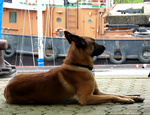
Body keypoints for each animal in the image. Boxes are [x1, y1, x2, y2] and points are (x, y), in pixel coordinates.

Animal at [3, 31, 144, 104]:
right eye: (94, 42)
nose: (105, 47)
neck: (78, 65)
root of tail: (6, 88)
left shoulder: (97, 92)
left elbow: (117, 93)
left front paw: (134, 97)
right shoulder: (87, 98)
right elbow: (112, 96)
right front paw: (126, 100)